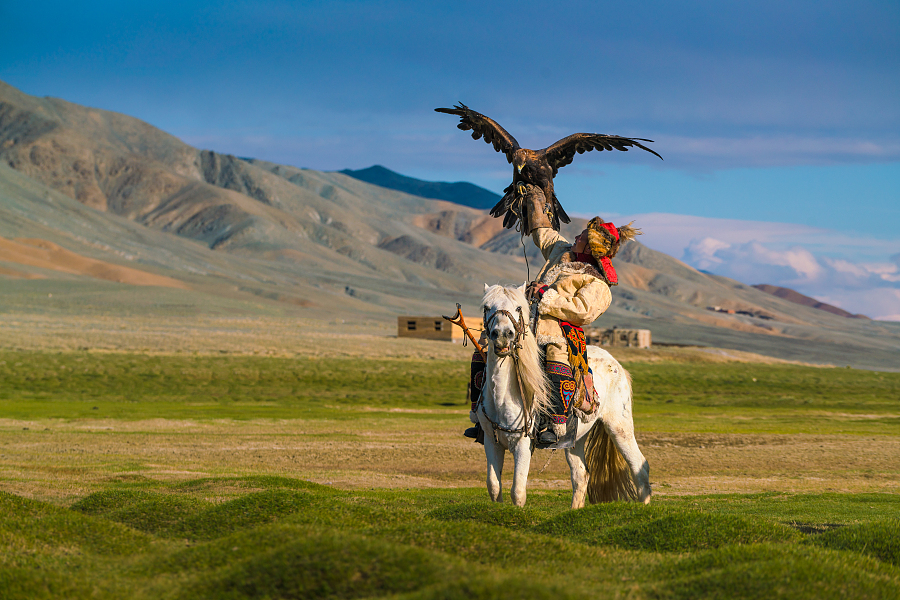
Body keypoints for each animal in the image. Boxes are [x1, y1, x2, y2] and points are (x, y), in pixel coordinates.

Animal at [474, 284, 652, 508]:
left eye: (518, 308)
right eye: (487, 307)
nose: (503, 335)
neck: (504, 397)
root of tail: (617, 364)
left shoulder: (523, 444)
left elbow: (518, 491)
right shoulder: (492, 441)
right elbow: (494, 486)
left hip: (620, 427)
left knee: (640, 466)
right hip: (577, 437)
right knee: (581, 475)